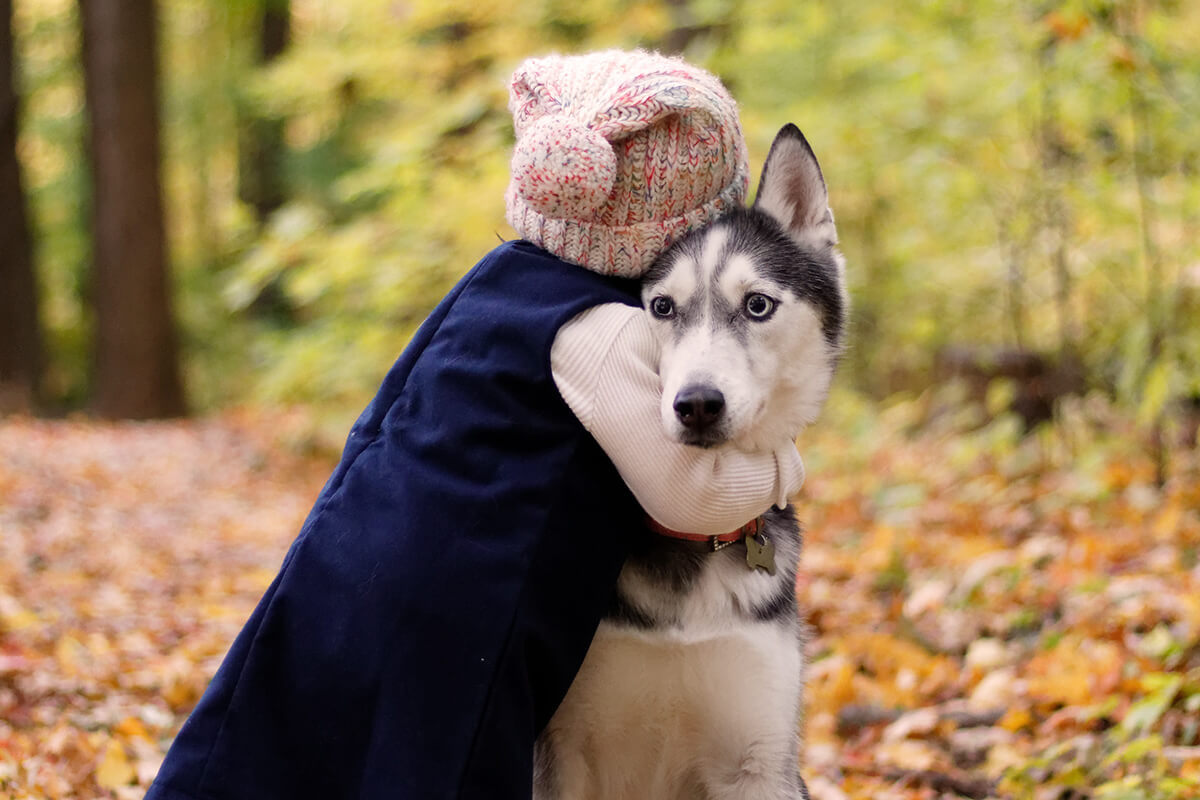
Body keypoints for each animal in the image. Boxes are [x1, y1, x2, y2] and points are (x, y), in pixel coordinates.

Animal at [530, 126, 849, 800]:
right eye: (661, 308)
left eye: (757, 306)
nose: (697, 403)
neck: (693, 537)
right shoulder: (559, 760)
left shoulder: (759, 763)